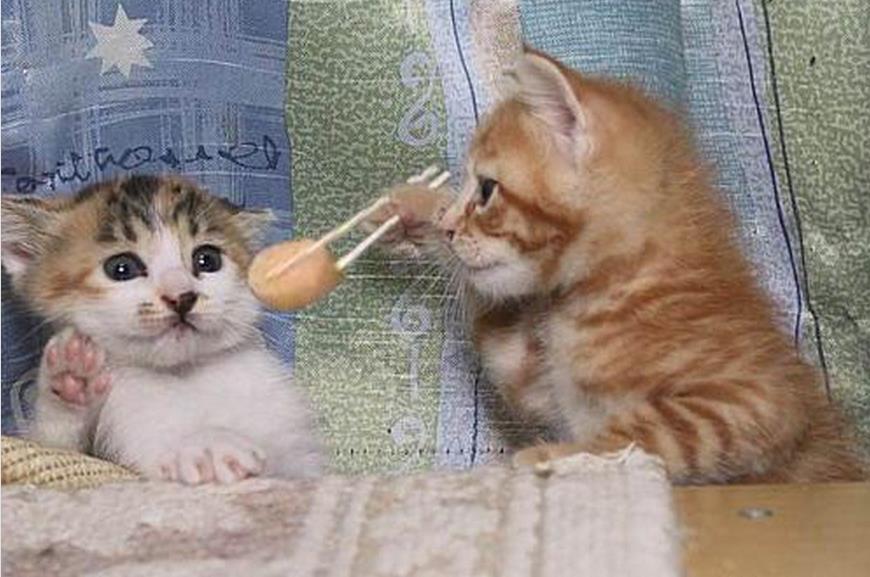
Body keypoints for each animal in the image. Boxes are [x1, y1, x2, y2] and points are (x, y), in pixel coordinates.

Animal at [1, 175, 323, 484]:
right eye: (121, 268)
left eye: (207, 259)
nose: (181, 297)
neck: (183, 374)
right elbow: (61, 449)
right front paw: (71, 376)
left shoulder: (295, 449)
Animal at [370, 50, 865, 484]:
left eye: (487, 190)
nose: (450, 228)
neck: (616, 281)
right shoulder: (535, 380)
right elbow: (500, 339)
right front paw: (415, 208)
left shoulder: (756, 402)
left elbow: (642, 432)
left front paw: (546, 456)